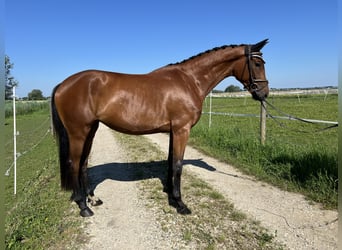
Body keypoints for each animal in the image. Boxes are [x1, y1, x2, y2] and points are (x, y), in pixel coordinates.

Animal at [50, 39, 270, 217]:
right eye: (257, 63)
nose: (264, 93)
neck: (189, 81)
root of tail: (62, 84)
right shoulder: (182, 130)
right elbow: (178, 165)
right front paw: (180, 204)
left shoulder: (174, 131)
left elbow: (171, 162)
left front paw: (171, 195)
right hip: (78, 133)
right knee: (74, 163)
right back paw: (83, 207)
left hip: (91, 130)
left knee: (84, 164)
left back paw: (92, 199)